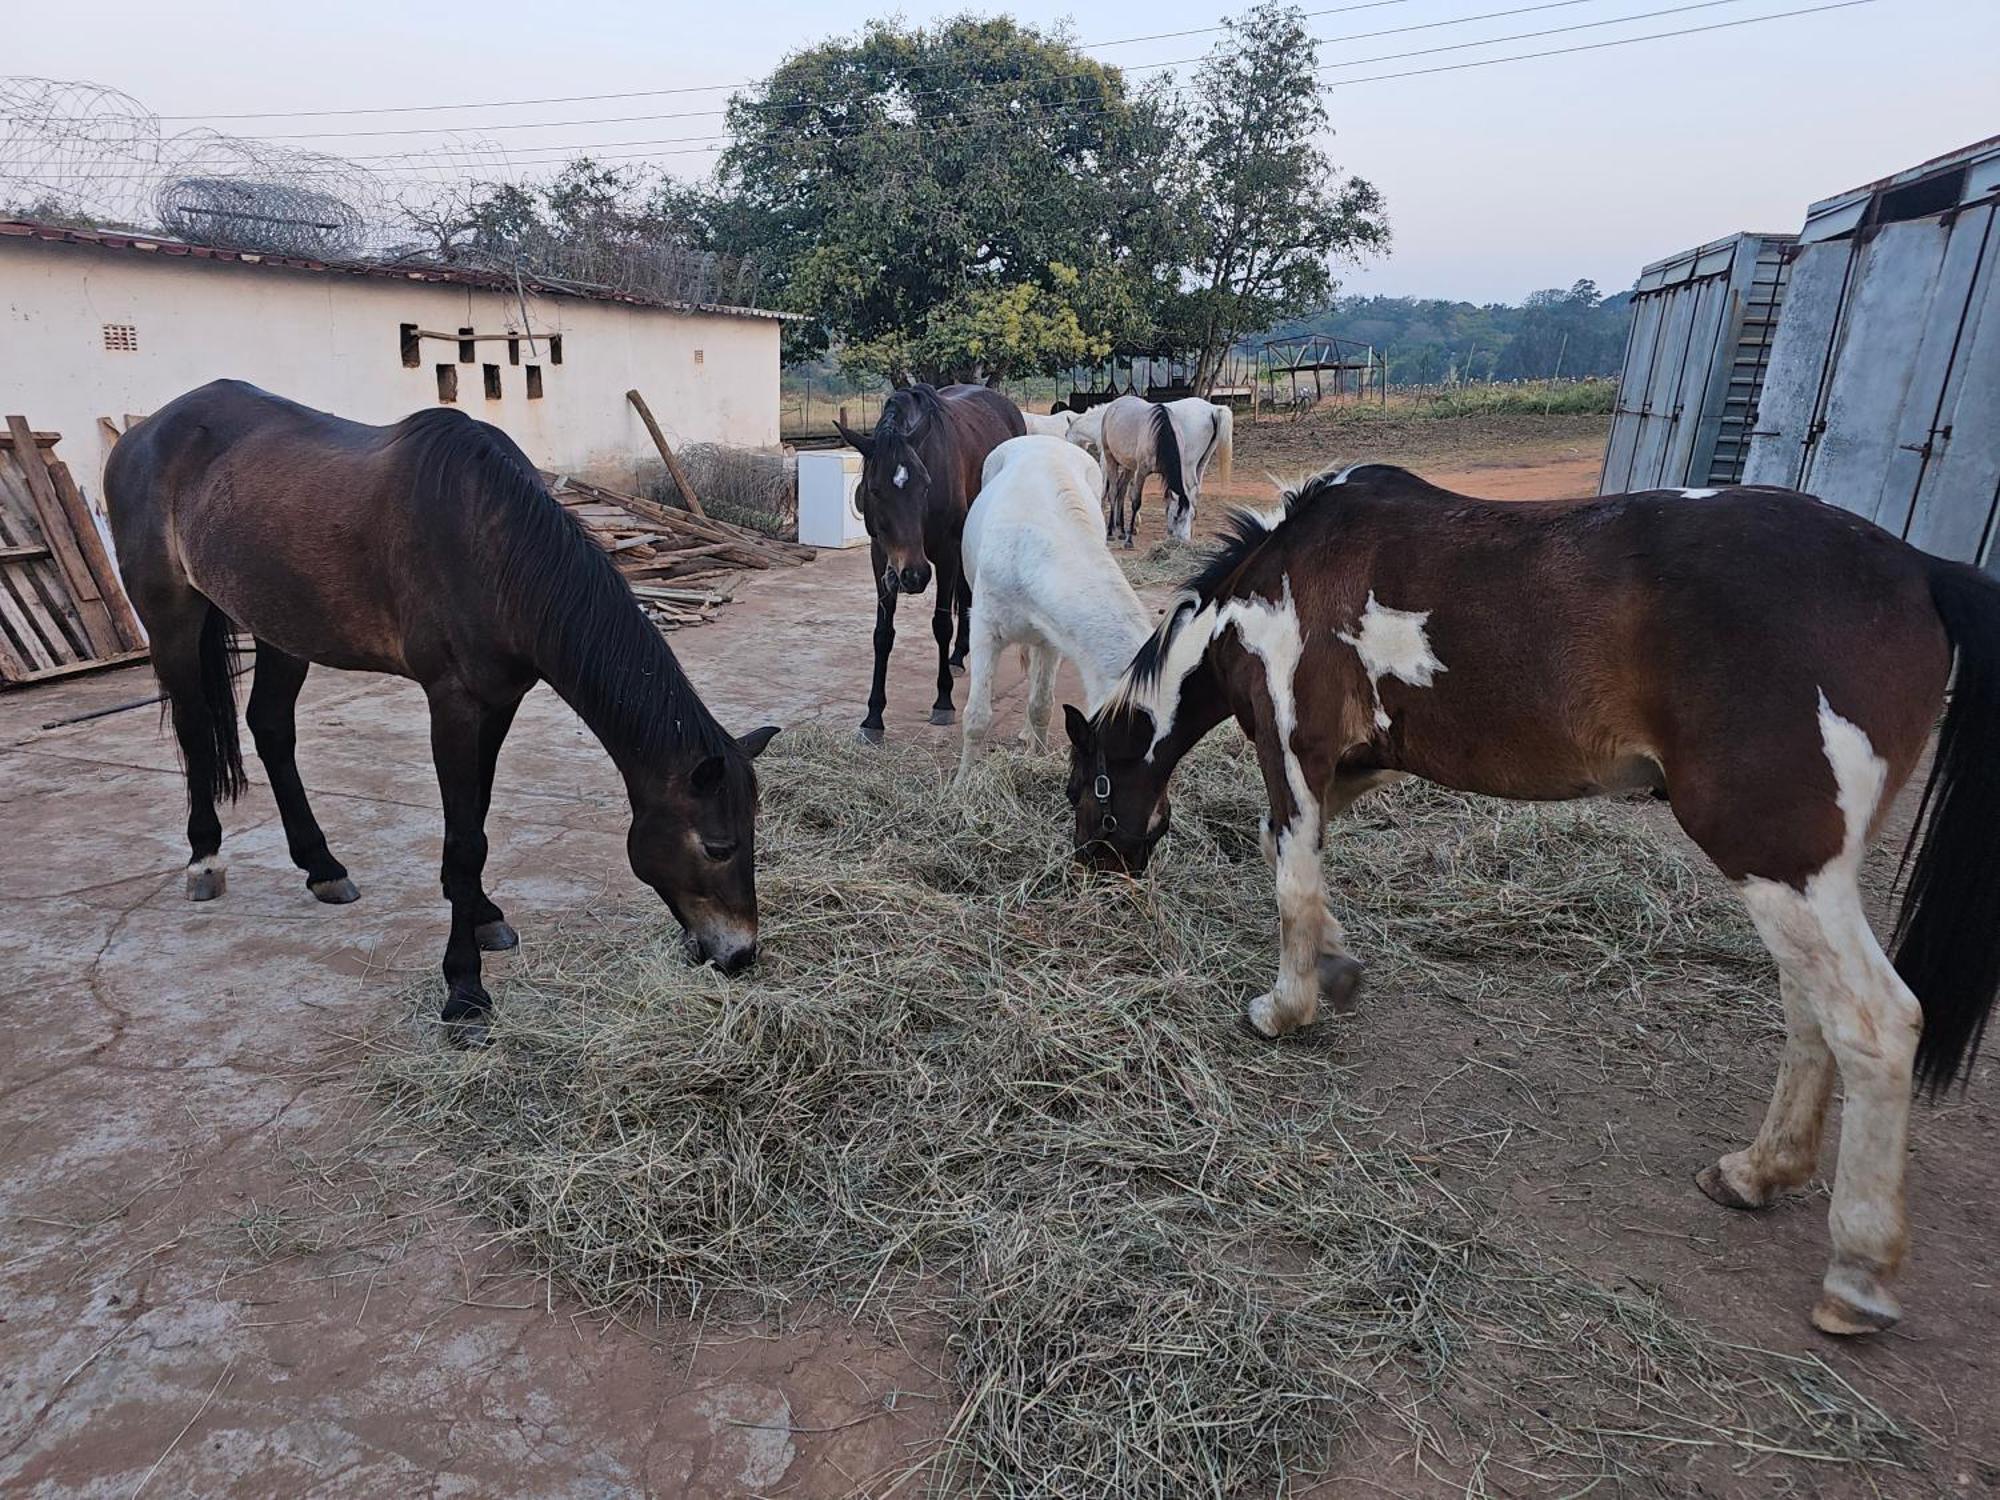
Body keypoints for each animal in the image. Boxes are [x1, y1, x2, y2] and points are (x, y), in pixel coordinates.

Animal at [105, 378, 780, 1048]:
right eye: (718, 846)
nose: (740, 955)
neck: (493, 545)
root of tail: (145, 433)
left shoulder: (500, 701)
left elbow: (475, 819)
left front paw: (483, 916)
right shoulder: (452, 702)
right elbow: (463, 841)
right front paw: (465, 989)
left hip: (279, 626)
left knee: (271, 728)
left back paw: (322, 866)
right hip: (172, 615)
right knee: (196, 730)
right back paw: (204, 859)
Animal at [840, 384, 1032, 744]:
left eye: (925, 485)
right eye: (874, 489)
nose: (914, 576)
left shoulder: (945, 553)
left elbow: (941, 624)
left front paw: (943, 700)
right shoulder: (881, 558)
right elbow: (882, 634)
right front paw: (873, 717)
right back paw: (958, 655)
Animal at [956, 440, 1160, 780]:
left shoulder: (1050, 640)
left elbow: (1041, 706)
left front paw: (1035, 761)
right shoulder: (984, 632)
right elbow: (977, 717)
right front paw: (962, 783)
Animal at [1072, 468, 2000, 1336]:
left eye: (1086, 787)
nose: (1094, 871)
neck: (1274, 583)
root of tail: (1919, 570)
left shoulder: (1297, 748)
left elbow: (1293, 882)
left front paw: (1285, 1006)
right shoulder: (1357, 765)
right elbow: (1291, 862)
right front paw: (1337, 968)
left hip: (1780, 861)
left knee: (1876, 1026)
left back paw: (1858, 1274)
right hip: (1803, 880)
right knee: (1811, 1012)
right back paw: (1756, 1172)